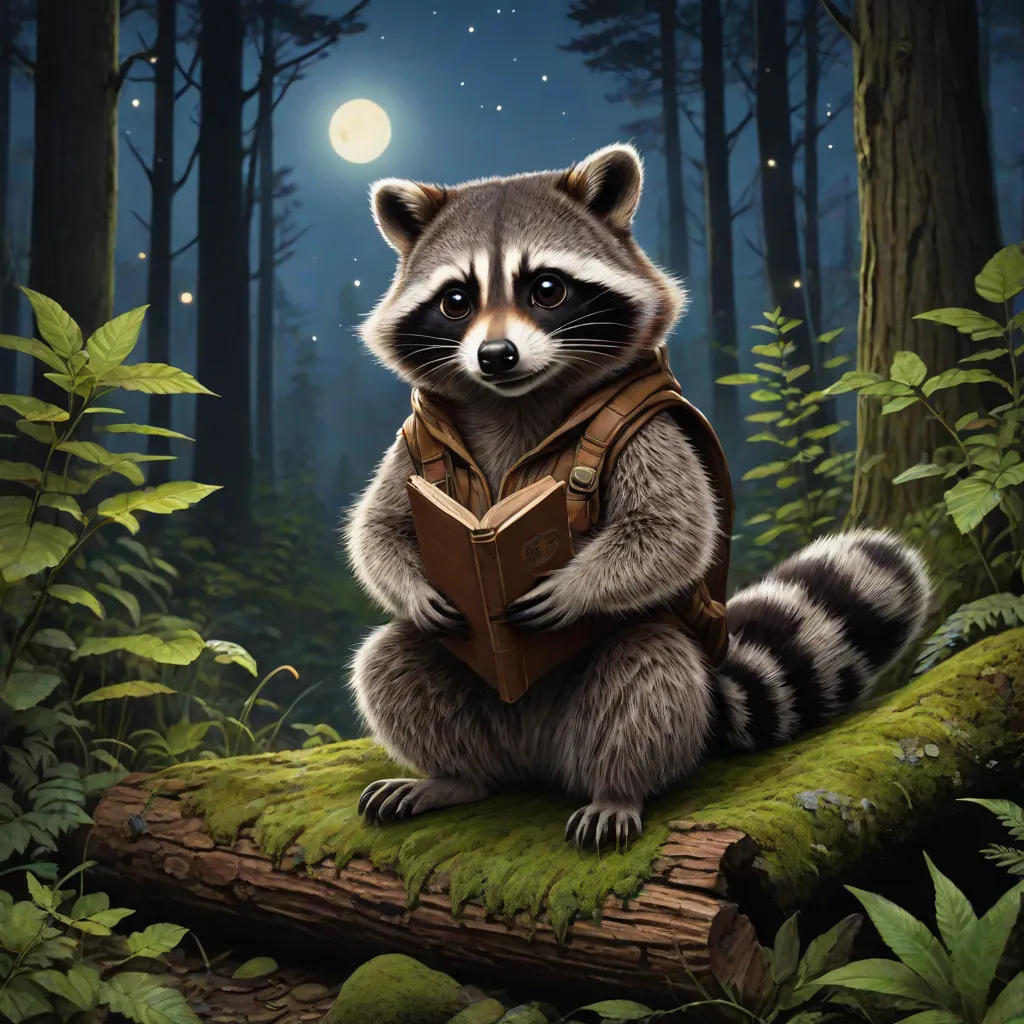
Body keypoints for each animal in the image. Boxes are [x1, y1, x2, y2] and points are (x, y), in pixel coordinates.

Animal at [343, 143, 933, 851]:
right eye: (456, 301)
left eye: (547, 289)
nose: (496, 355)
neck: (517, 398)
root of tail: (535, 762)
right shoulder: (415, 435)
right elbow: (379, 527)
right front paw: (417, 587)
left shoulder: (648, 428)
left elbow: (672, 529)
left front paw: (572, 586)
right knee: (391, 656)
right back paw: (455, 776)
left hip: (624, 705)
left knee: (648, 668)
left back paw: (618, 788)